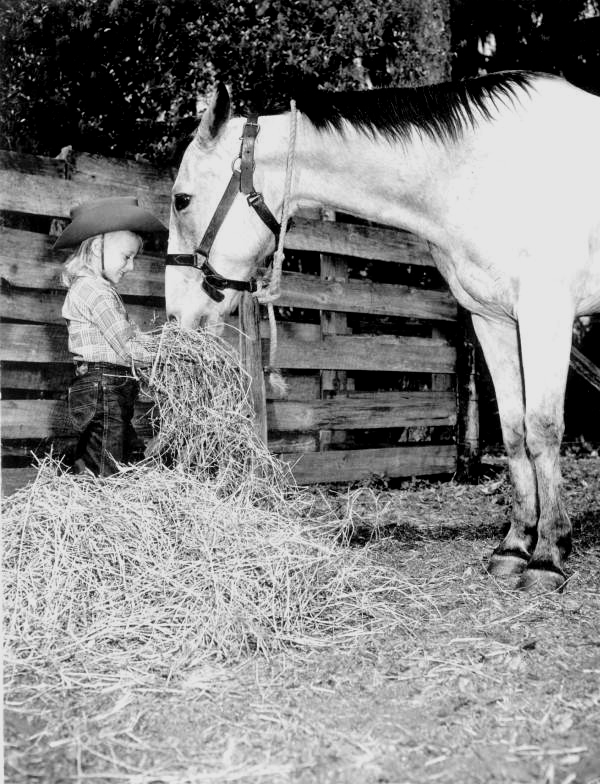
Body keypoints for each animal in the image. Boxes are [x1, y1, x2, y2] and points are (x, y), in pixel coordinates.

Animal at [166, 73, 600, 592]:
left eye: (181, 199)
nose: (176, 314)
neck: (480, 170)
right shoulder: (493, 320)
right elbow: (515, 432)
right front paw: (515, 548)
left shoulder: (545, 313)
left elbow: (543, 430)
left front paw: (549, 556)